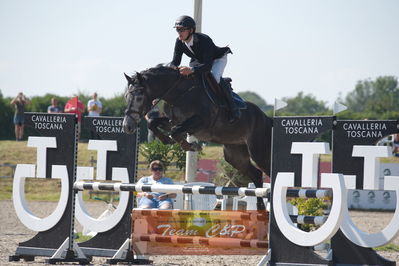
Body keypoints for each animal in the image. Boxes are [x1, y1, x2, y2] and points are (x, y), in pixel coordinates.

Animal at [122, 65, 274, 210]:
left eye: (139, 97)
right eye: (126, 97)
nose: (127, 126)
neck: (179, 94)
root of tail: (266, 119)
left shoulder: (201, 122)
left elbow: (175, 131)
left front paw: (190, 145)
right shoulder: (173, 121)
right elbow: (153, 123)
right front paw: (168, 140)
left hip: (259, 152)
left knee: (265, 170)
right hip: (235, 154)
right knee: (256, 174)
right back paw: (260, 207)